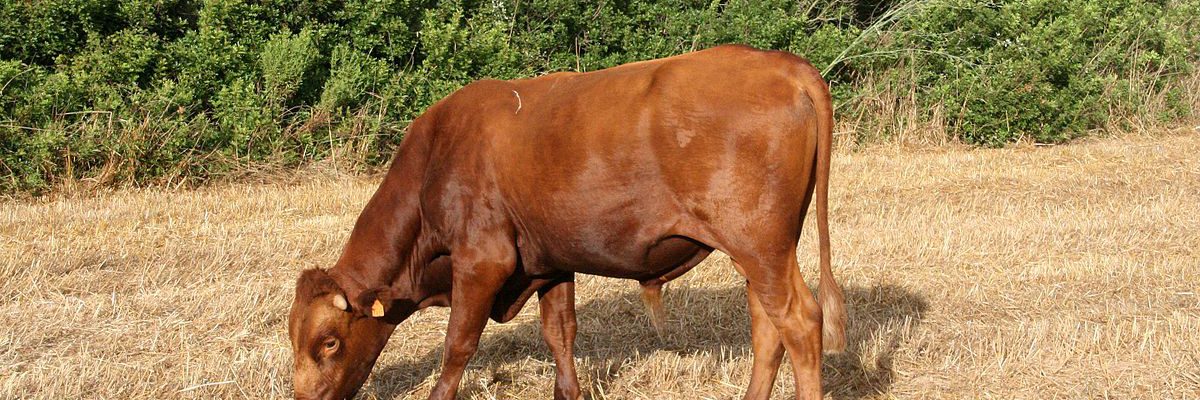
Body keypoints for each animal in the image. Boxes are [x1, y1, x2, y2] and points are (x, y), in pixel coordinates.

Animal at [287, 44, 846, 400]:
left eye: (329, 342)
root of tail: (783, 65)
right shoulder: (548, 261)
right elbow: (560, 335)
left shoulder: (482, 261)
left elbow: (456, 349)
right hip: (760, 251)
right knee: (767, 327)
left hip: (760, 246)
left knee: (800, 322)